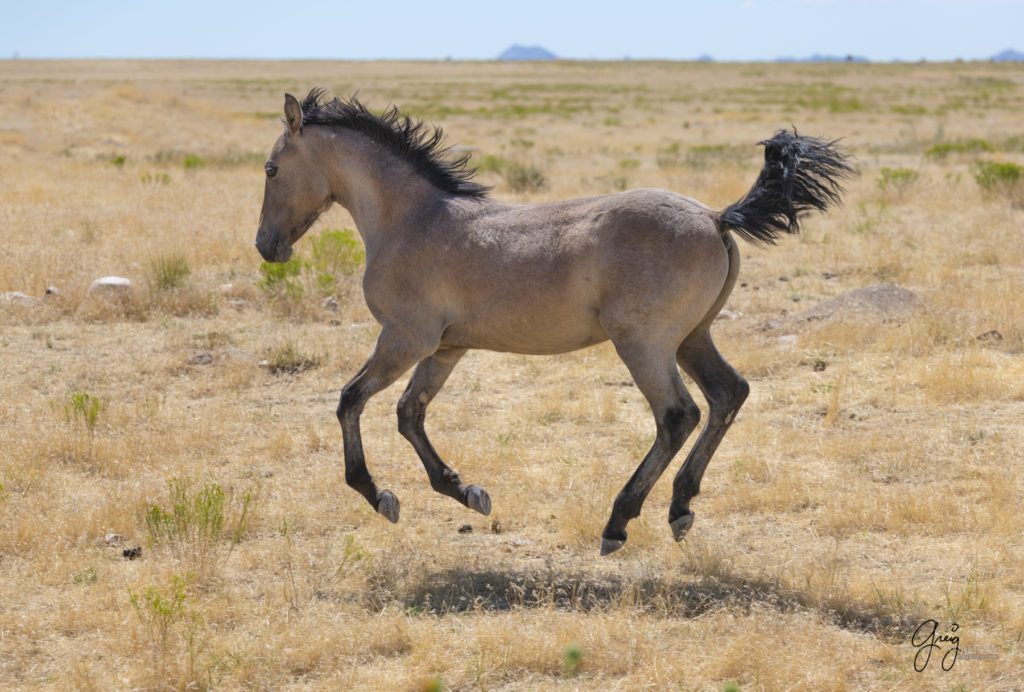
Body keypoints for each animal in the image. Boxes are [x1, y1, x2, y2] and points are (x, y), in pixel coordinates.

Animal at [256, 89, 856, 556]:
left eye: (270, 168)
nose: (267, 247)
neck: (412, 220)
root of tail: (714, 217)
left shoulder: (404, 340)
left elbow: (350, 401)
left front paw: (379, 496)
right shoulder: (445, 349)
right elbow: (410, 415)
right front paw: (465, 492)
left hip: (644, 345)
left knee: (677, 415)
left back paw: (618, 522)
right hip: (692, 338)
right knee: (728, 395)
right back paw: (680, 509)